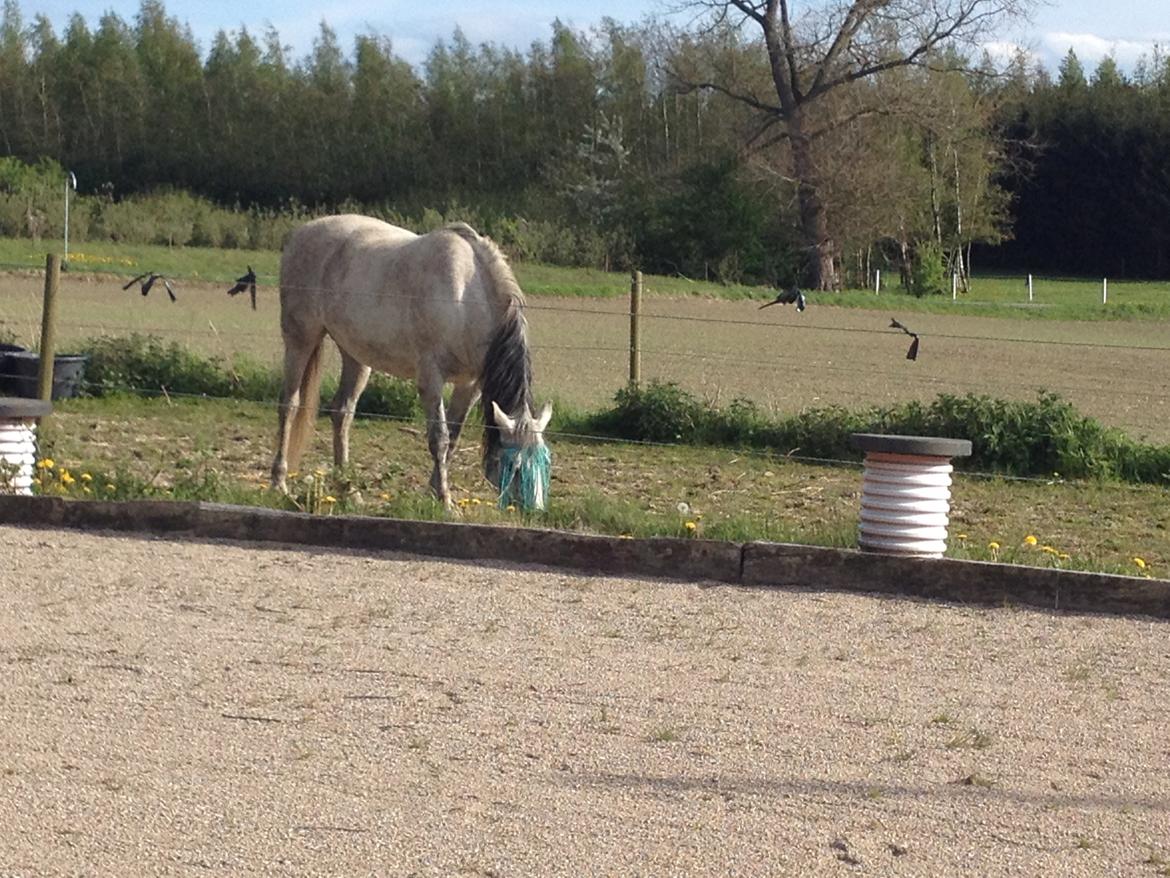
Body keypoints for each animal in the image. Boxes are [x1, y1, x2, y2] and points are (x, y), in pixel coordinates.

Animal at [269, 214, 552, 512]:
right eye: (516, 466)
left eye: (545, 461)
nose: (535, 511)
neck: (466, 296)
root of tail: (300, 233)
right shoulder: (431, 378)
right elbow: (439, 438)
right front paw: (445, 501)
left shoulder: (470, 385)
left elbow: (453, 437)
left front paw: (434, 493)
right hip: (300, 340)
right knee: (289, 405)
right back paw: (279, 483)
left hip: (356, 356)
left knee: (342, 413)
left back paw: (349, 491)